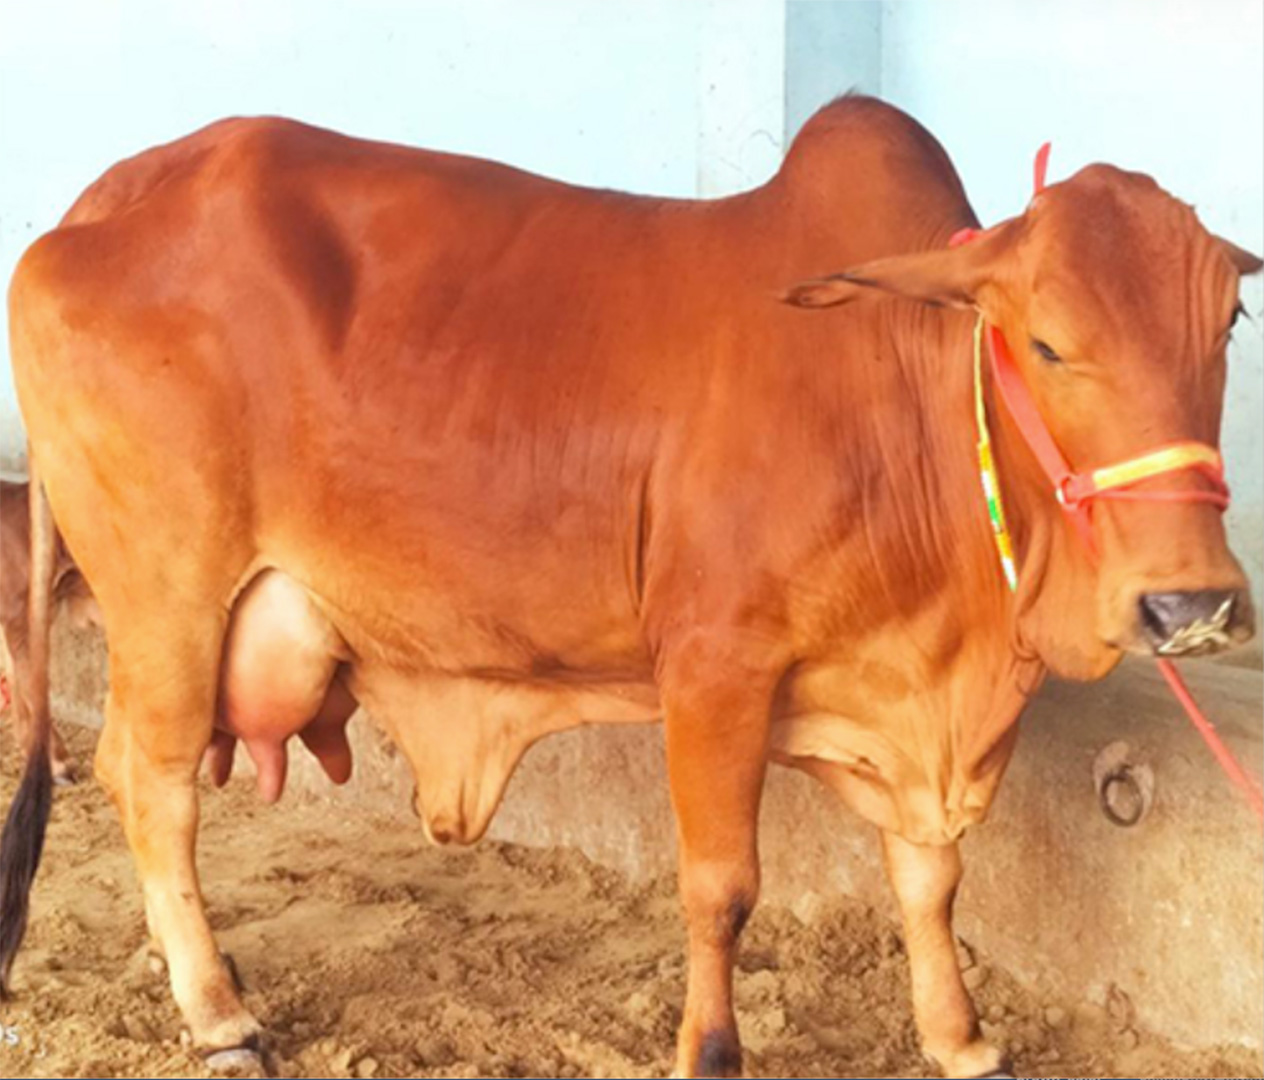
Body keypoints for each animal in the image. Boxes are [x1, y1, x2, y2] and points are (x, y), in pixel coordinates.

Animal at [2, 95, 1258, 1078]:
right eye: (1044, 342)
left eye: (1230, 320)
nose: (1190, 606)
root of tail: (105, 198)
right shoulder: (713, 665)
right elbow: (721, 886)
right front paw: (710, 1049)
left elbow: (931, 879)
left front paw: (960, 1041)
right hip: (169, 599)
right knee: (151, 785)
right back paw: (219, 1016)